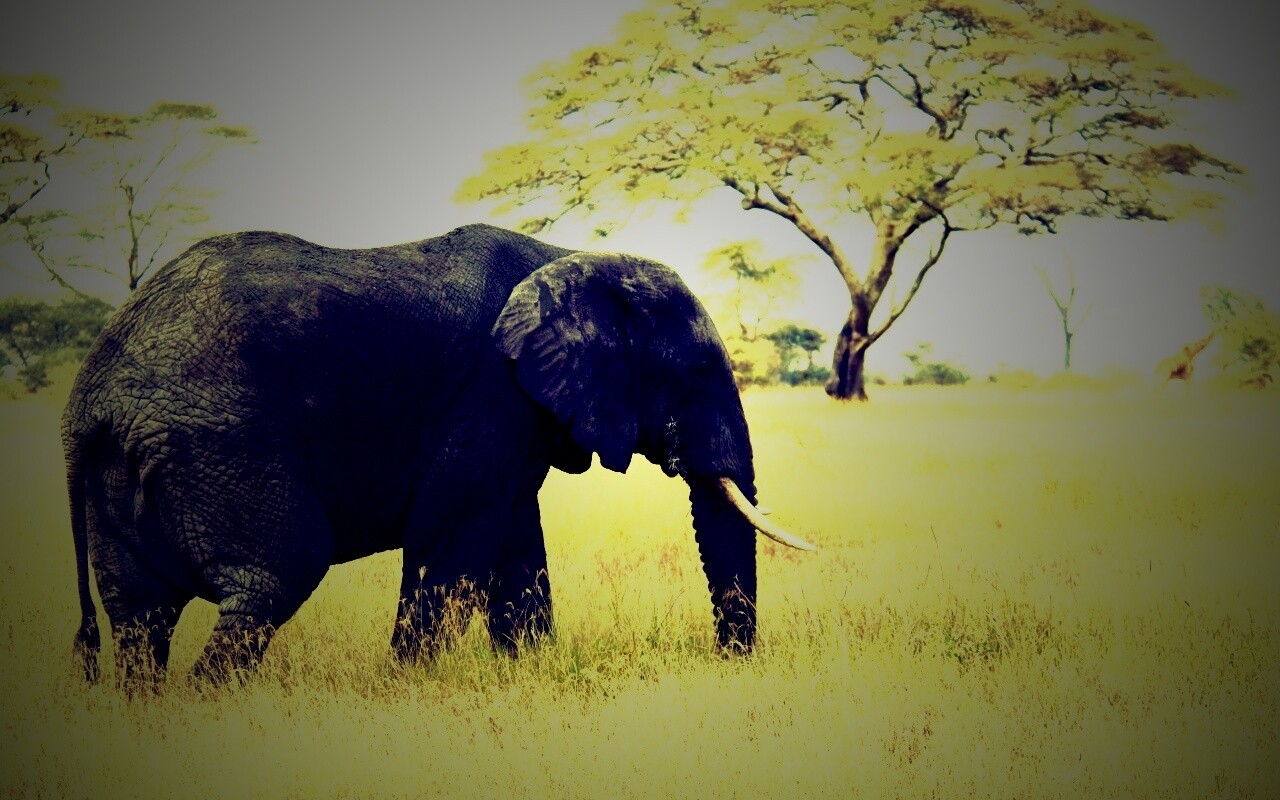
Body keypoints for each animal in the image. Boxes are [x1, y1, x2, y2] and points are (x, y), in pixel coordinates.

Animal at [62, 222, 813, 689]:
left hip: (132, 465)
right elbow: (452, 538)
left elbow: (514, 544)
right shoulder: (488, 391)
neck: (569, 255)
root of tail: (87, 400)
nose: (729, 663)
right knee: (276, 574)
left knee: (139, 614)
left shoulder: (515, 413)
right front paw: (409, 686)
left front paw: (528, 674)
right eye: (695, 372)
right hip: (218, 445)